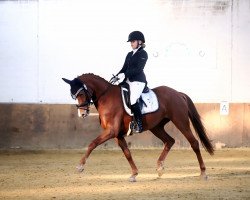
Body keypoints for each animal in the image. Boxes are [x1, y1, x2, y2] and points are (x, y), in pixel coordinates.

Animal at [62, 73, 213, 181]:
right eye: (73, 95)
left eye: (81, 93)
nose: (82, 114)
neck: (106, 97)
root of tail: (178, 93)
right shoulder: (117, 135)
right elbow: (127, 153)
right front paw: (134, 174)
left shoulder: (111, 131)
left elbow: (92, 144)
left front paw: (80, 166)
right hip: (156, 127)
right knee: (169, 141)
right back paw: (159, 168)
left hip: (180, 121)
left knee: (194, 143)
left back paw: (203, 173)